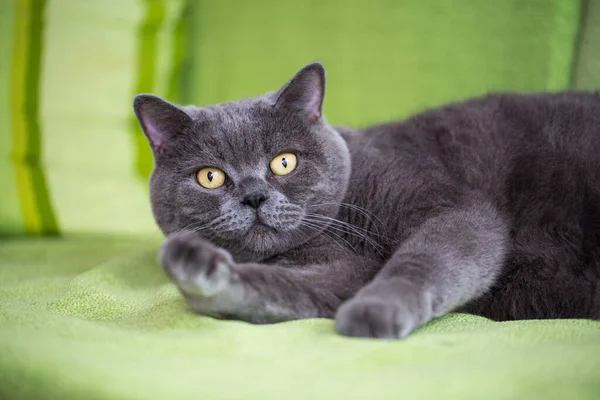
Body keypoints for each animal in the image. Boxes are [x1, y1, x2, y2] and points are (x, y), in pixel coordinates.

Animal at [134, 61, 600, 338]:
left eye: (284, 162)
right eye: (210, 177)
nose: (253, 196)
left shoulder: (449, 206)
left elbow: (423, 259)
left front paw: (376, 311)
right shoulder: (344, 272)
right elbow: (294, 287)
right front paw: (203, 274)